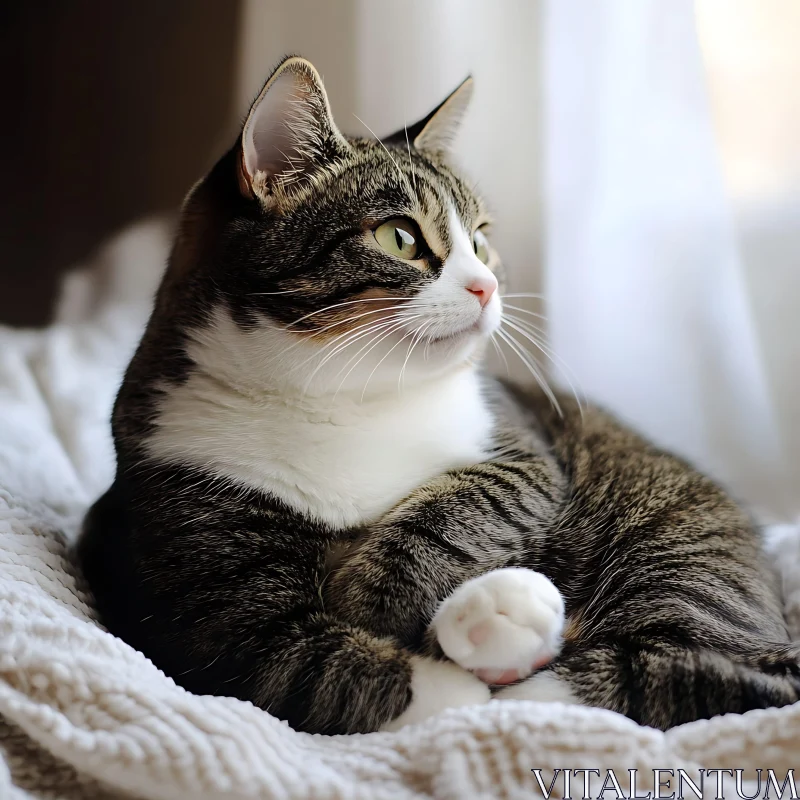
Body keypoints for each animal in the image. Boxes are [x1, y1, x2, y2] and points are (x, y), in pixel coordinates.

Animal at [76, 54, 800, 732]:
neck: (342, 397)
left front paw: (380, 595)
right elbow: (310, 663)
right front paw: (450, 668)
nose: (488, 284)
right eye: (399, 237)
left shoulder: (521, 444)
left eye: (480, 239)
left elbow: (470, 497)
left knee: (732, 673)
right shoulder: (207, 593)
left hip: (673, 541)